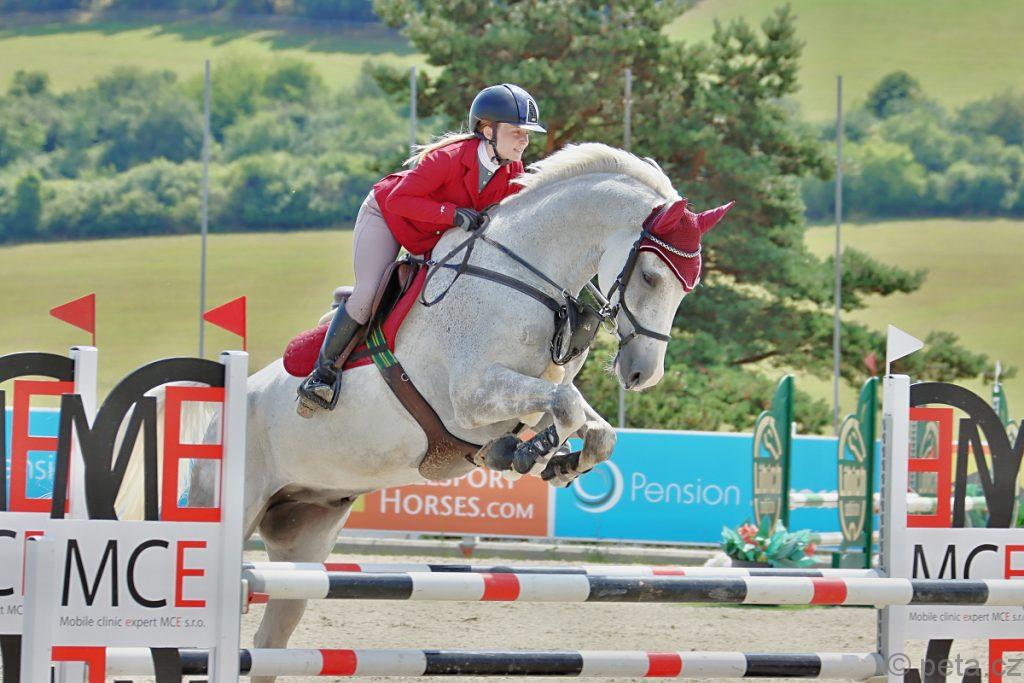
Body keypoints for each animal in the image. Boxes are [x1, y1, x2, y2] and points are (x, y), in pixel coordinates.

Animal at [178, 143, 732, 682]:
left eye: (688, 286)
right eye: (651, 275)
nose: (642, 374)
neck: (522, 279)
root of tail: (219, 411)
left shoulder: (529, 393)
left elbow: (593, 428)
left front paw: (552, 460)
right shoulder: (469, 398)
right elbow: (566, 407)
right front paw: (528, 453)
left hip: (306, 534)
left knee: (271, 639)